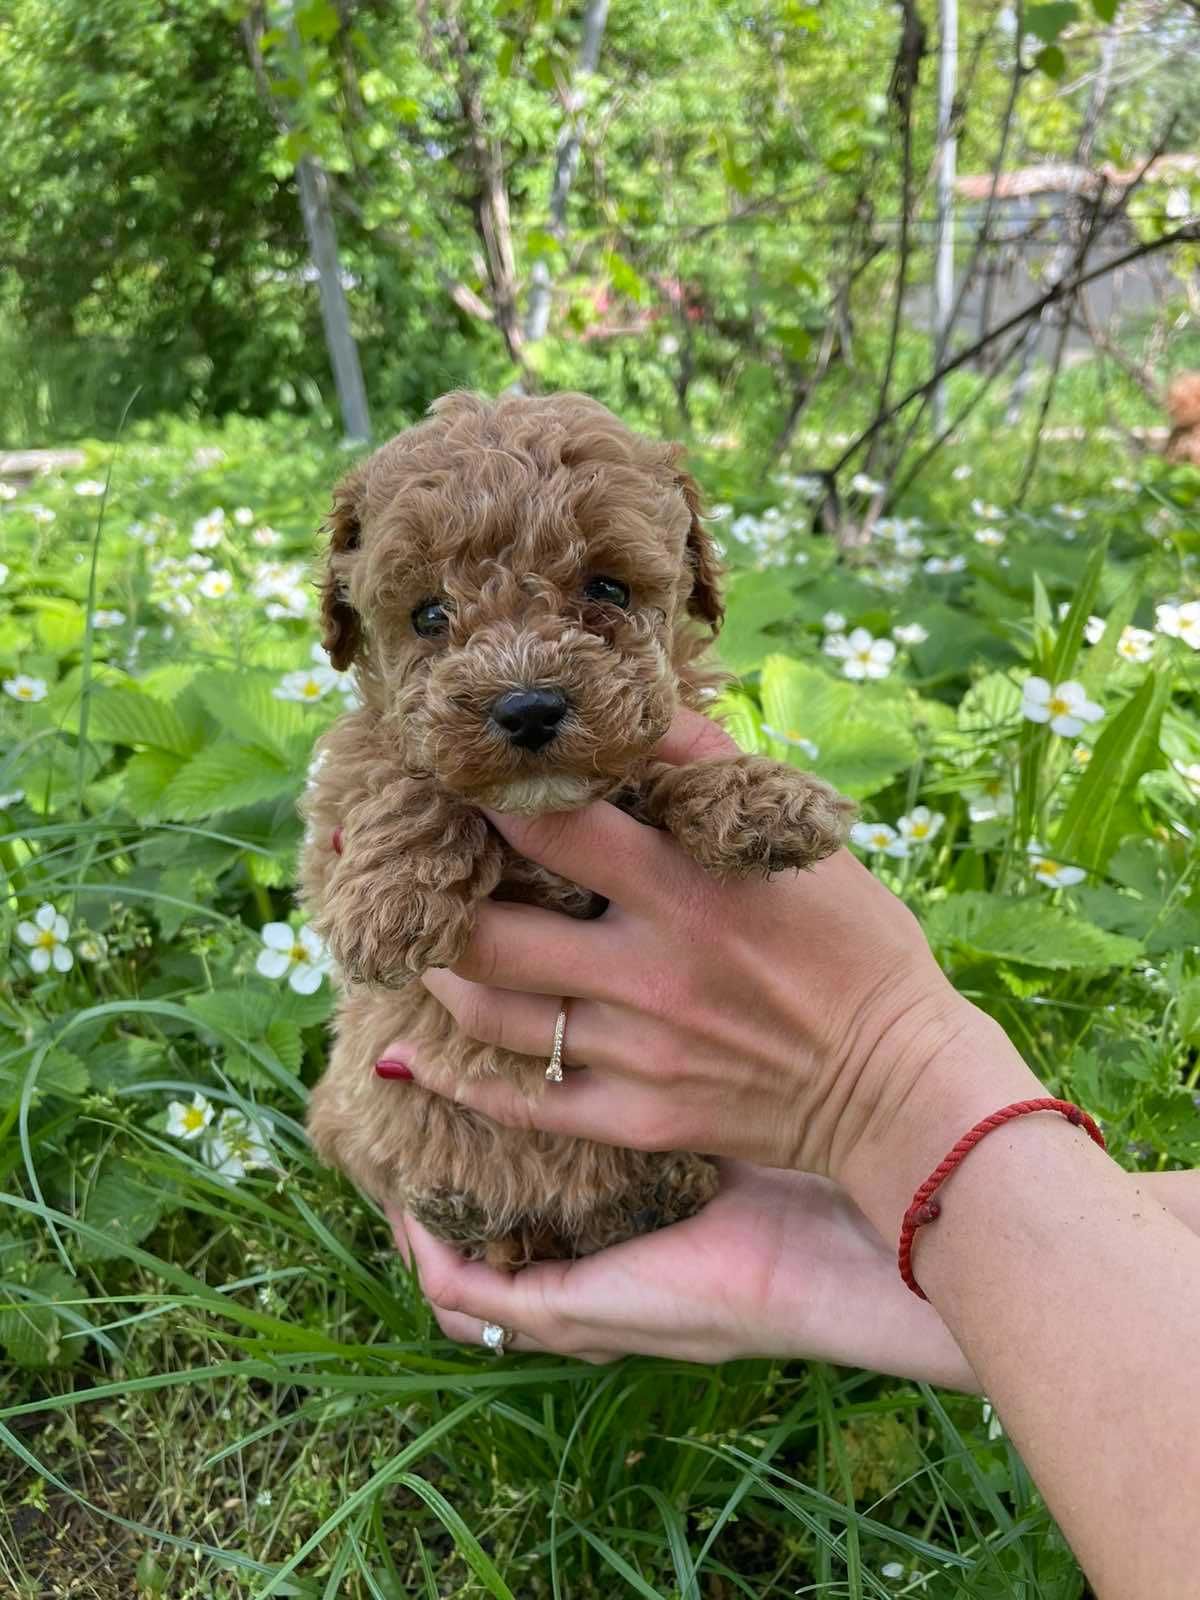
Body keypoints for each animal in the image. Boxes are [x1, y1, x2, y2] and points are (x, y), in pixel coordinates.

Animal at [300, 387, 857, 1260]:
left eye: (608, 591)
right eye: (428, 615)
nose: (527, 707)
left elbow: (657, 768)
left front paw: (760, 797)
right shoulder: (338, 811)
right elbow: (406, 779)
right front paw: (389, 907)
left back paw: (656, 1193)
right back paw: (461, 1206)